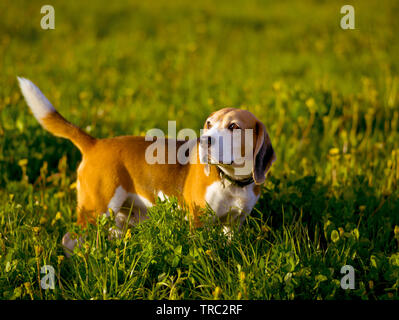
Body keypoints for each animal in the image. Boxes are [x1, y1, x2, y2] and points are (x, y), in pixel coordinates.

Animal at [17, 76, 276, 254]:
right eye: (209, 124)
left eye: (234, 126)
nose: (203, 140)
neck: (232, 181)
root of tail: (94, 143)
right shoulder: (198, 220)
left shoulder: (234, 224)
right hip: (97, 208)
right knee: (70, 238)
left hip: (120, 217)